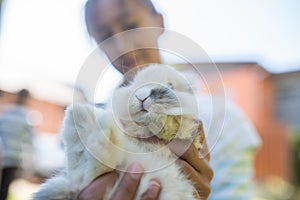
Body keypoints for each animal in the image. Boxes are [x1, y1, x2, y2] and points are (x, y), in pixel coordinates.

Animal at [33, 65, 206, 199]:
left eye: (171, 86)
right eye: (134, 84)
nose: (141, 96)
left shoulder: (186, 132)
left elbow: (172, 125)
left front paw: (158, 115)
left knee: (92, 168)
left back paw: (86, 119)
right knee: (88, 170)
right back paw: (81, 115)